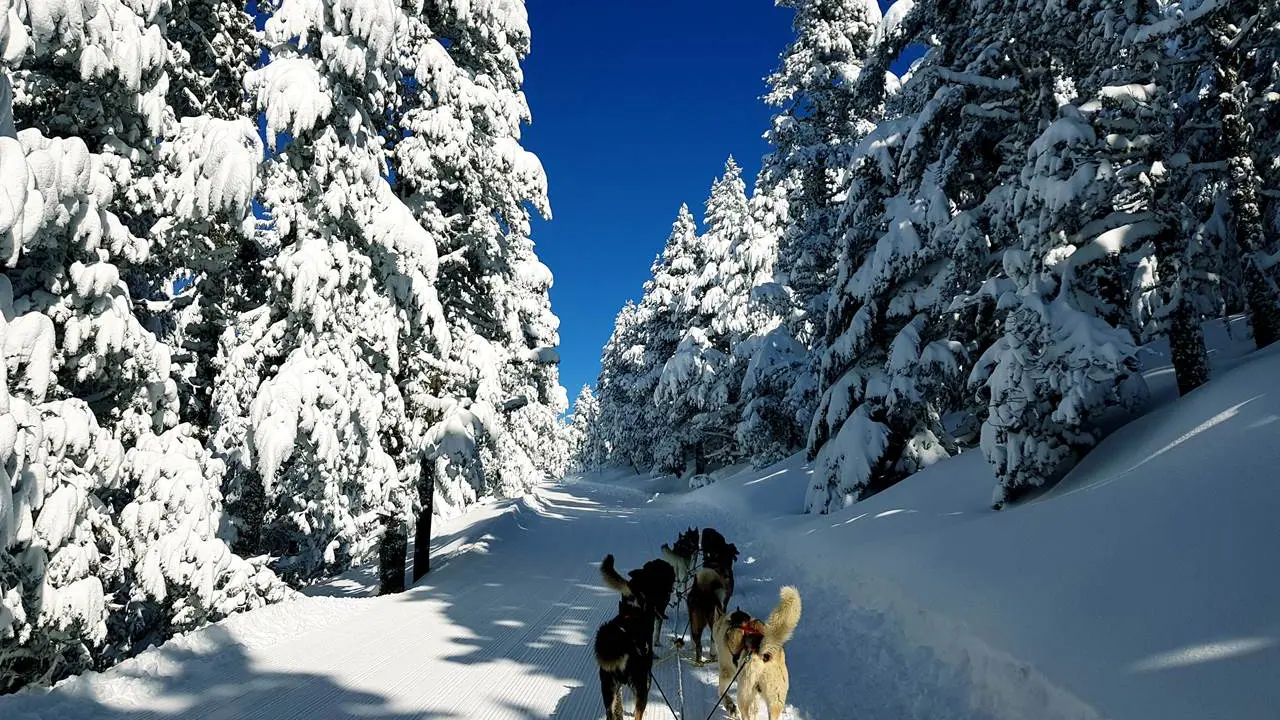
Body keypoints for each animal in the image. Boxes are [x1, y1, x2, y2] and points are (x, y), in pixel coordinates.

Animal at [711, 584, 798, 717]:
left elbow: (722, 692)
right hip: (774, 700)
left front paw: (730, 707)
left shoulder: (726, 671)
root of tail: (765, 652)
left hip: (744, 696)